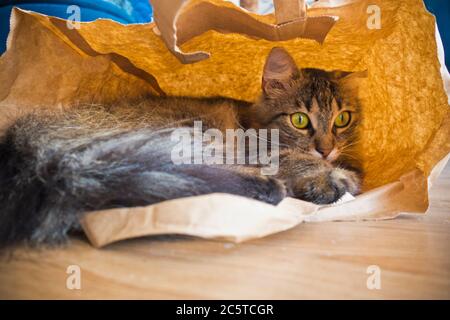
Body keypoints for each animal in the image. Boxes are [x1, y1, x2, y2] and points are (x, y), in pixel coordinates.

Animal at [0, 48, 362, 248]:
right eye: (300, 120)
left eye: (342, 119)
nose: (326, 149)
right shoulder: (262, 150)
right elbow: (297, 160)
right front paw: (331, 179)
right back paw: (268, 188)